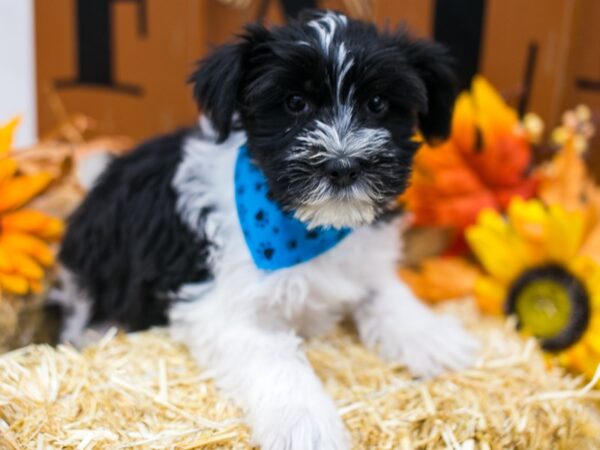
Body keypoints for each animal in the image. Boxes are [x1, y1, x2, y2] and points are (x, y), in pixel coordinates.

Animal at [57, 9, 478, 450]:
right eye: (295, 103)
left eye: (377, 103)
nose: (343, 165)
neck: (309, 227)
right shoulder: (222, 307)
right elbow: (274, 355)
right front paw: (306, 423)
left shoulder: (363, 259)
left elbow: (384, 292)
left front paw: (431, 337)